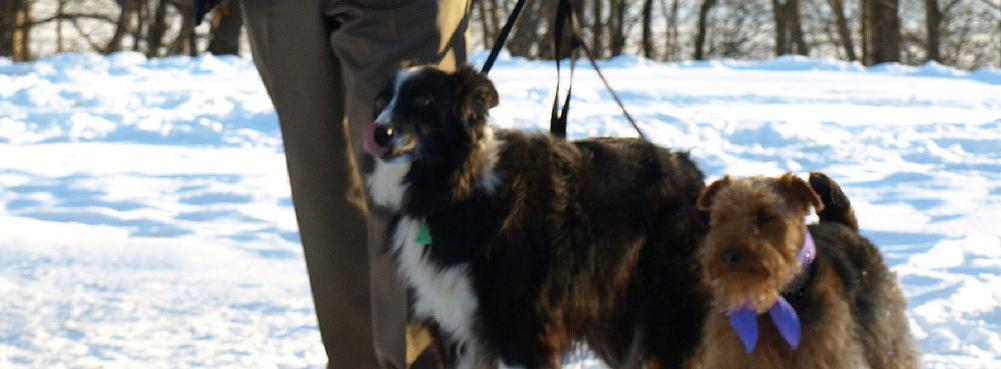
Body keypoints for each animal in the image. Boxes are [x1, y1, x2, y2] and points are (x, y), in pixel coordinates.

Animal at [364, 66, 708, 368]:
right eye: (381, 102)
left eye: (423, 100)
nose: (379, 133)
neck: (454, 192)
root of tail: (688, 171)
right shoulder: (453, 328)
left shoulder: (520, 330)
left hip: (668, 314)